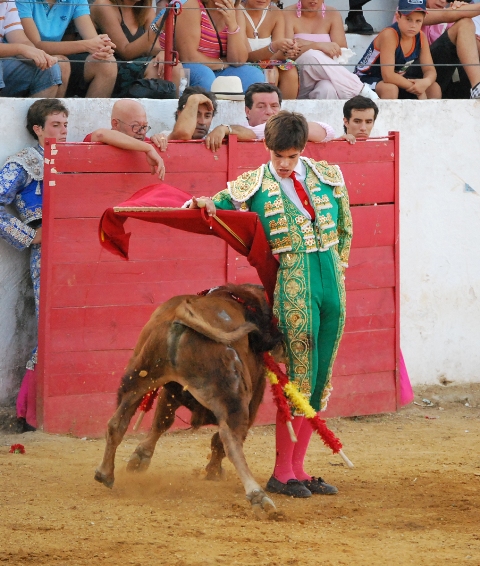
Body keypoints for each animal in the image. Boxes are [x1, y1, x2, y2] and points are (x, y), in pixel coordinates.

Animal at [95, 286, 284, 516]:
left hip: (138, 378)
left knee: (116, 423)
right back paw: (258, 496)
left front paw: (139, 458)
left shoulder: (171, 388)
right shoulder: (253, 398)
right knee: (231, 441)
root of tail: (181, 314)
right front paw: (213, 470)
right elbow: (218, 441)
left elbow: (161, 421)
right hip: (233, 398)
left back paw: (105, 473)